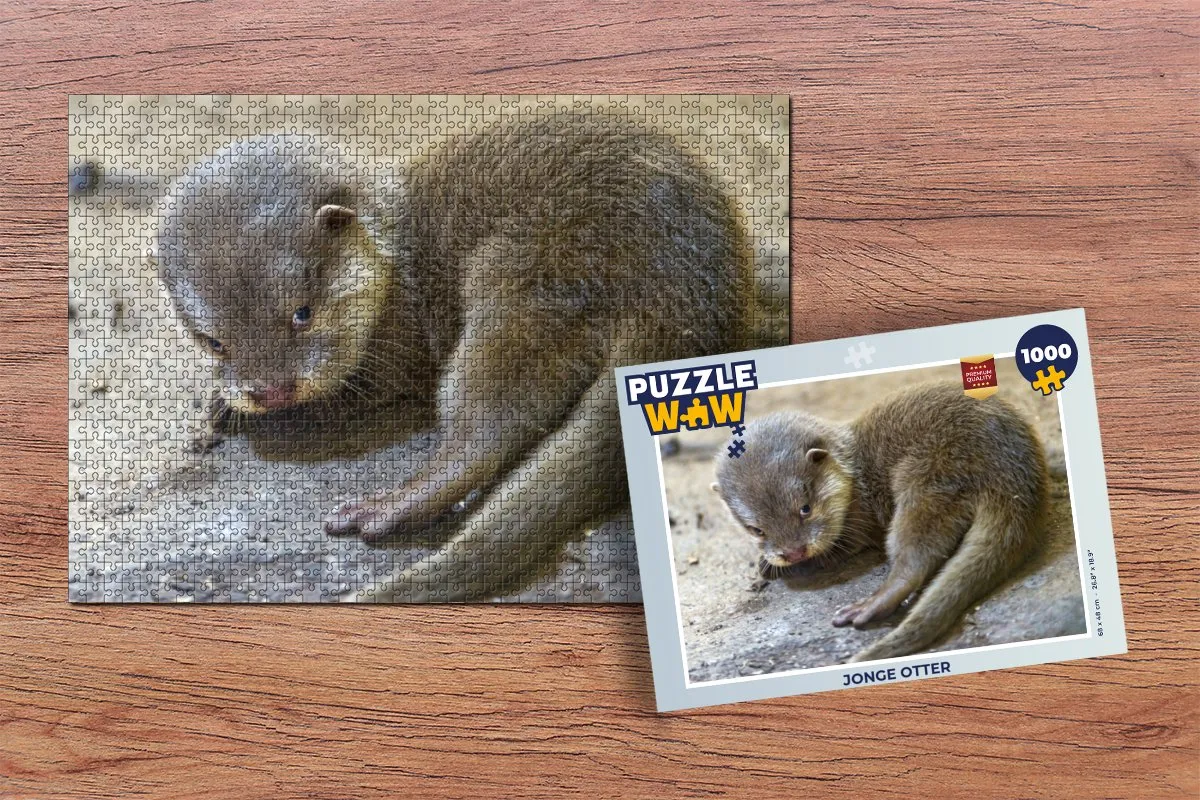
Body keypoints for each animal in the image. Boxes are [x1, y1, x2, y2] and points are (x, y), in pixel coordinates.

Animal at [151, 113, 757, 601]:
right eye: (214, 341)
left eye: (302, 312)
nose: (271, 389)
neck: (396, 261)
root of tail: (684, 286)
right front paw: (220, 401)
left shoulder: (395, 346)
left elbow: (343, 395)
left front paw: (230, 412)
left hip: (528, 278)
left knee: (485, 431)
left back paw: (388, 507)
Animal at [713, 383, 1048, 662]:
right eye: (756, 529)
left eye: (805, 508)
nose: (794, 552)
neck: (854, 474)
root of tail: (1014, 474)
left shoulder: (858, 519)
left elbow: (835, 550)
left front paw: (772, 568)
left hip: (930, 476)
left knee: (916, 555)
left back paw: (873, 604)